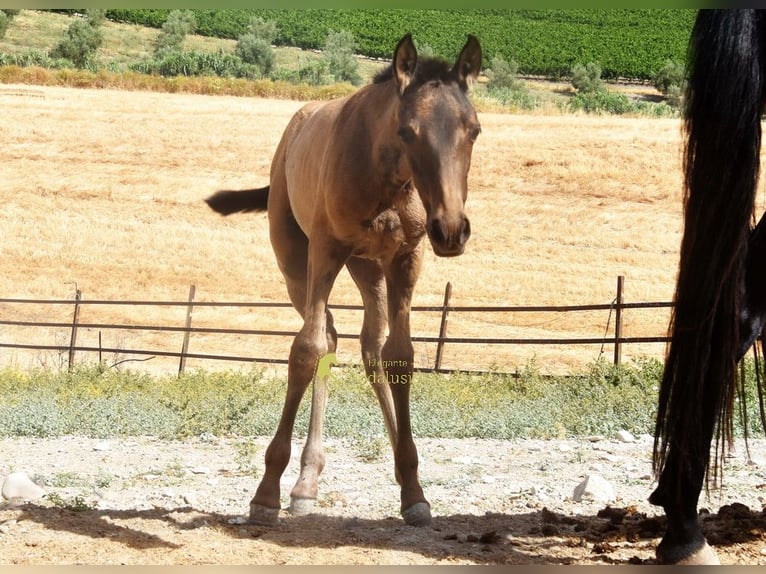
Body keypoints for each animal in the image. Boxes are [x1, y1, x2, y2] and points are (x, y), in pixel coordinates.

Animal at [206, 33, 482, 527]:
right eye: (407, 131)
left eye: (474, 130)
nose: (451, 230)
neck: (386, 175)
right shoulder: (326, 249)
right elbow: (306, 349)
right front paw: (266, 493)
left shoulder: (407, 257)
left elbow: (400, 355)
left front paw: (414, 489)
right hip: (297, 261)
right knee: (327, 338)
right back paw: (304, 481)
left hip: (368, 266)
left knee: (371, 345)